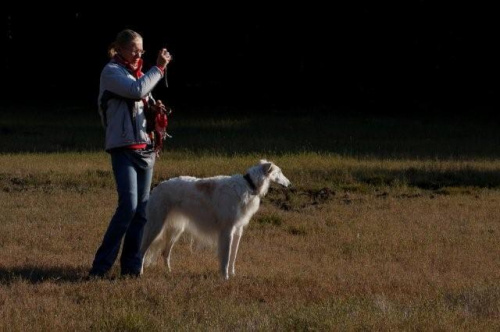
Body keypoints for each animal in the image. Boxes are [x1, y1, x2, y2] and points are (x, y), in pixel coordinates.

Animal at [140, 160, 290, 278]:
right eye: (280, 171)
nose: (289, 184)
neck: (249, 184)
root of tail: (157, 187)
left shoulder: (238, 230)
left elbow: (233, 256)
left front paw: (232, 274)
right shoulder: (227, 230)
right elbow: (226, 257)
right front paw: (225, 277)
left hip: (175, 229)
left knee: (165, 253)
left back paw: (169, 272)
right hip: (156, 226)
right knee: (141, 250)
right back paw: (139, 272)